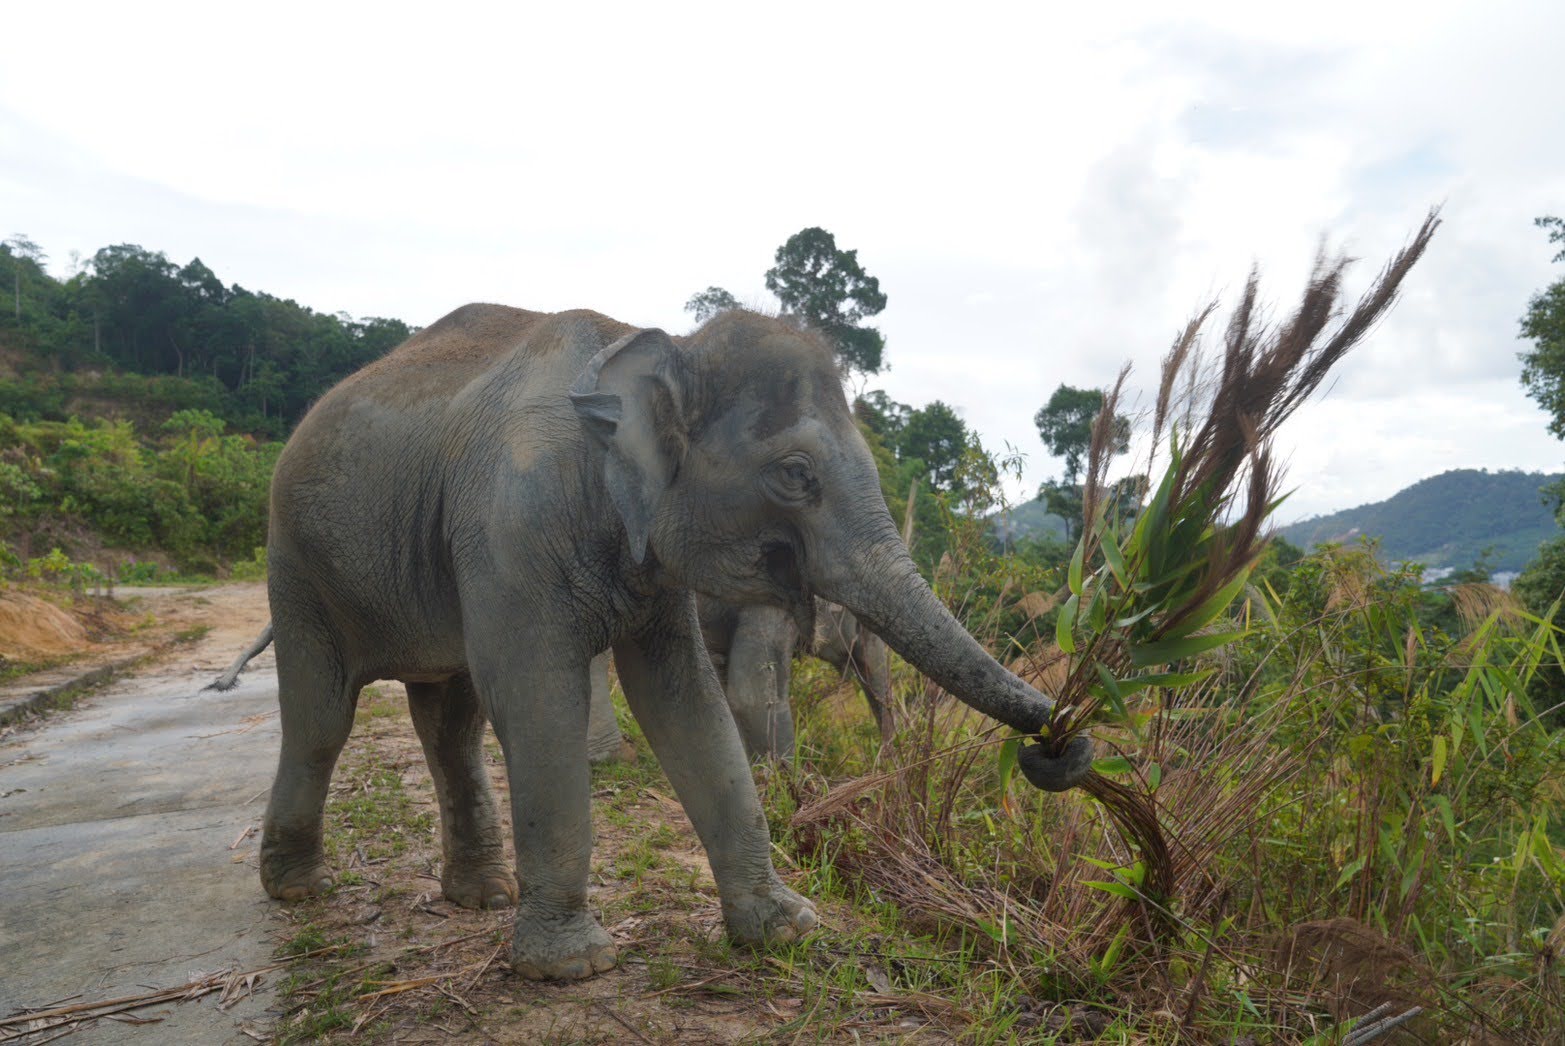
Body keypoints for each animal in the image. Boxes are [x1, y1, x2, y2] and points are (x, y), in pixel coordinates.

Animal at [227, 303, 1092, 982]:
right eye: (795, 474)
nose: (1061, 742)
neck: (653, 348)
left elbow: (687, 699)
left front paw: (786, 930)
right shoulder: (512, 527)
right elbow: (539, 697)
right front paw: (570, 967)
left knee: (449, 723)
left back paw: (481, 896)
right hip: (296, 563)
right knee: (322, 719)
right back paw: (298, 889)